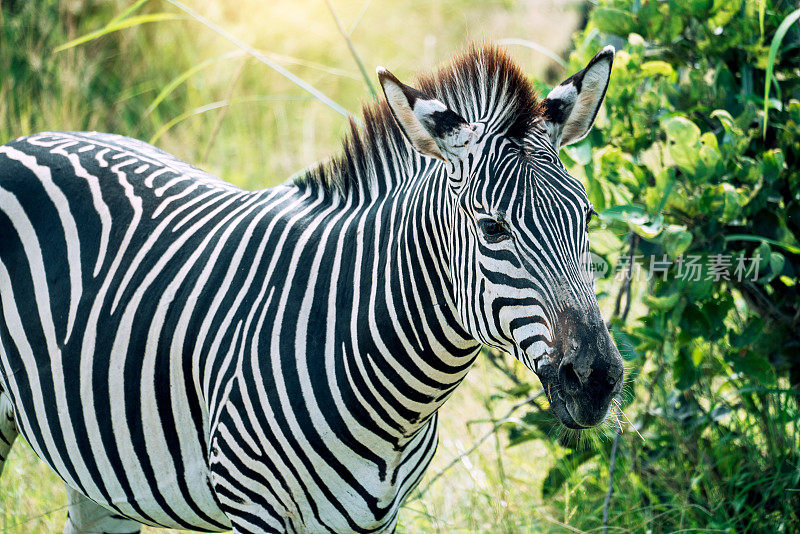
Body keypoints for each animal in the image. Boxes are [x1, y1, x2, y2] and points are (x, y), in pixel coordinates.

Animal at [0, 44, 624, 532]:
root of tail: (30, 138)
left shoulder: (379, 518)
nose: (597, 380)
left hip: (96, 471)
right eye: (492, 228)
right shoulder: (252, 504)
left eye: (588, 217)